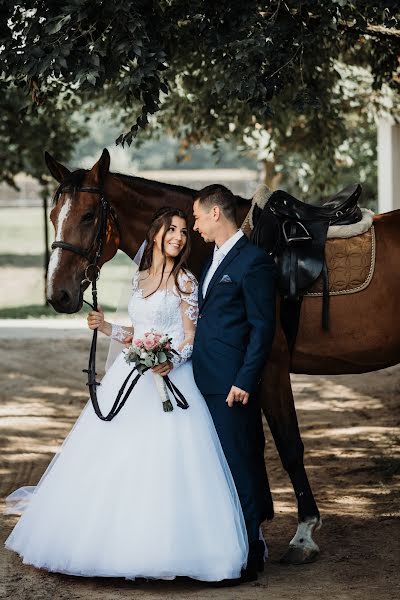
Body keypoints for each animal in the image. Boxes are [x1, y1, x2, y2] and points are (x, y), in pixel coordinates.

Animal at [44, 149, 400, 564]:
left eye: (88, 216)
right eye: (54, 215)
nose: (58, 295)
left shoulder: (269, 367)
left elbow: (288, 445)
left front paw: (303, 532)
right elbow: (254, 443)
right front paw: (254, 518)